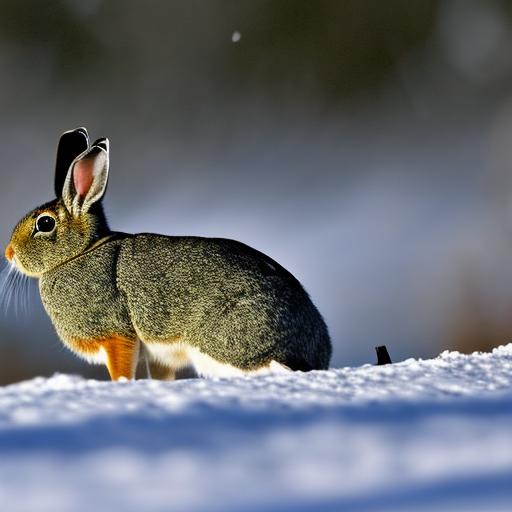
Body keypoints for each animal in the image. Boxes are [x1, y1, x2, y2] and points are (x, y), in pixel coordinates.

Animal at [4, 126, 332, 378]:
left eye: (45, 223)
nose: (8, 253)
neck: (80, 253)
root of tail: (304, 354)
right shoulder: (159, 358)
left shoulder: (117, 335)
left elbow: (121, 371)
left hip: (223, 344)